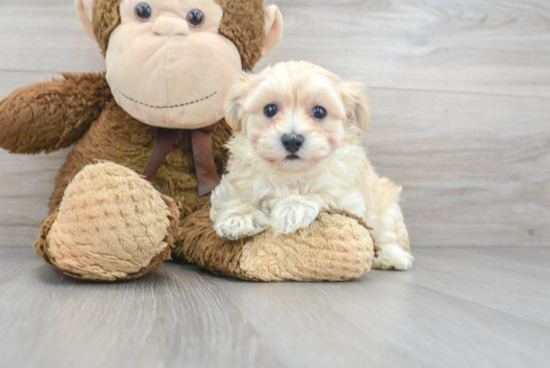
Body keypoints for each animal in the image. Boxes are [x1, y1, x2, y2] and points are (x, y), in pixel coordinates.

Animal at [211, 61, 414, 270]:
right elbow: (234, 198)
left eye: (319, 112)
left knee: (388, 235)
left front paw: (292, 208)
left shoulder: (346, 196)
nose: (292, 140)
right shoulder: (235, 183)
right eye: (270, 110)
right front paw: (239, 217)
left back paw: (392, 256)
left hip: (387, 210)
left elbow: (321, 193)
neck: (291, 174)